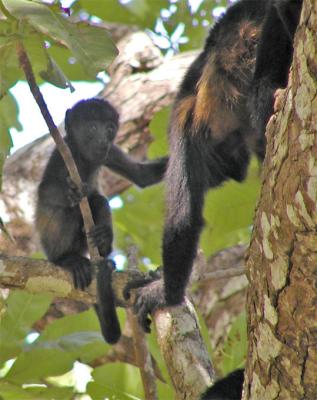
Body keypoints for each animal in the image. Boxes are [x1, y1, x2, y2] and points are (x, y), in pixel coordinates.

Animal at [35, 97, 167, 344]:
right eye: (92, 127)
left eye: (110, 129)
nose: (103, 140)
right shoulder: (64, 152)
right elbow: (48, 191)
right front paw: (75, 192)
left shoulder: (109, 152)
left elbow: (141, 176)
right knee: (69, 212)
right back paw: (67, 259)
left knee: (100, 201)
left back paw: (104, 242)